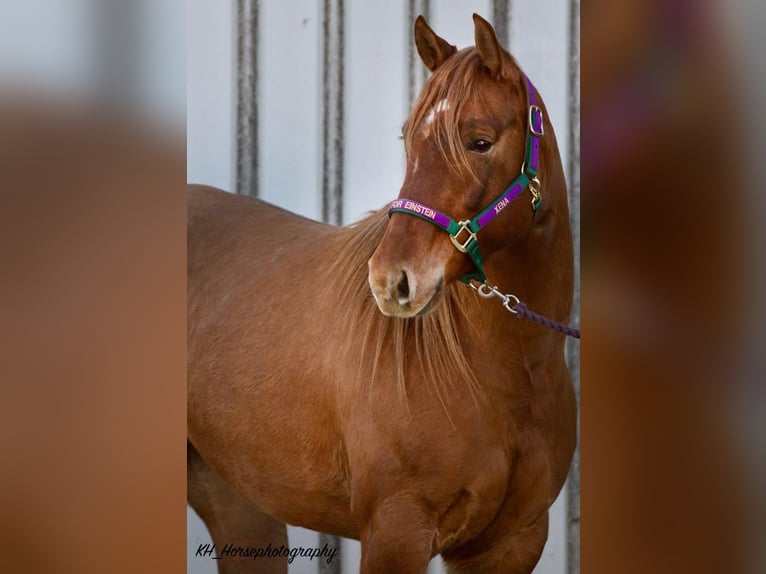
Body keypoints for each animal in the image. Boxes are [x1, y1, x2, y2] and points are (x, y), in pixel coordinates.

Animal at [187, 13, 576, 574]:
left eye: (479, 141)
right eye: (408, 138)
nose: (392, 280)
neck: (506, 378)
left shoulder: (511, 543)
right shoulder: (396, 531)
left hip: (239, 504)